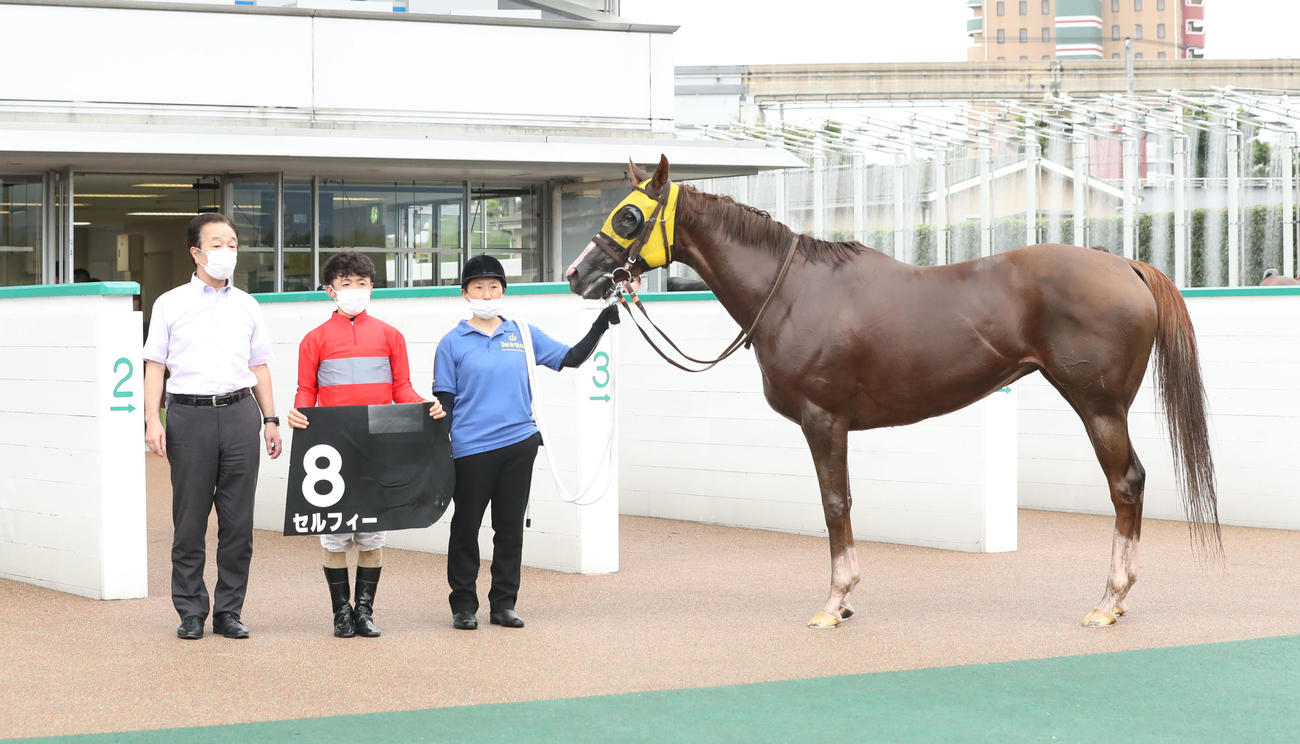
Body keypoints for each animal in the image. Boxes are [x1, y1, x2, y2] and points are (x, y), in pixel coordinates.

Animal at [566, 155, 1219, 629]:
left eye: (628, 217)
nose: (577, 275)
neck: (794, 292)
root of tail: (1125, 265)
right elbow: (843, 504)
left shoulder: (823, 420)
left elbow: (835, 505)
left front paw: (835, 602)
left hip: (1099, 407)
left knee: (1126, 485)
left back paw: (1109, 601)